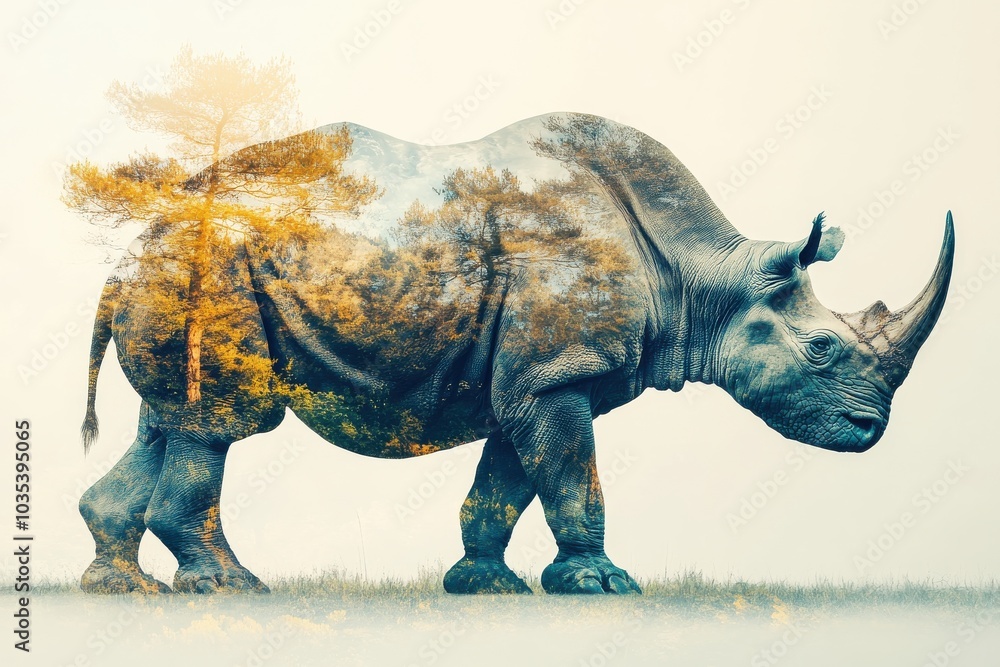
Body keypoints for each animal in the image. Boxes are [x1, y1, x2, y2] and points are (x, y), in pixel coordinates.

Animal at [77, 113, 954, 595]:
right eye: (823, 348)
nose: (870, 428)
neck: (704, 277)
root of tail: (124, 260)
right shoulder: (557, 373)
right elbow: (573, 481)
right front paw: (603, 585)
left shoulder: (539, 377)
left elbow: (503, 485)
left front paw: (484, 585)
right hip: (207, 273)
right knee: (221, 424)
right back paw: (229, 589)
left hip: (181, 278)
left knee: (164, 424)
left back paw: (123, 589)